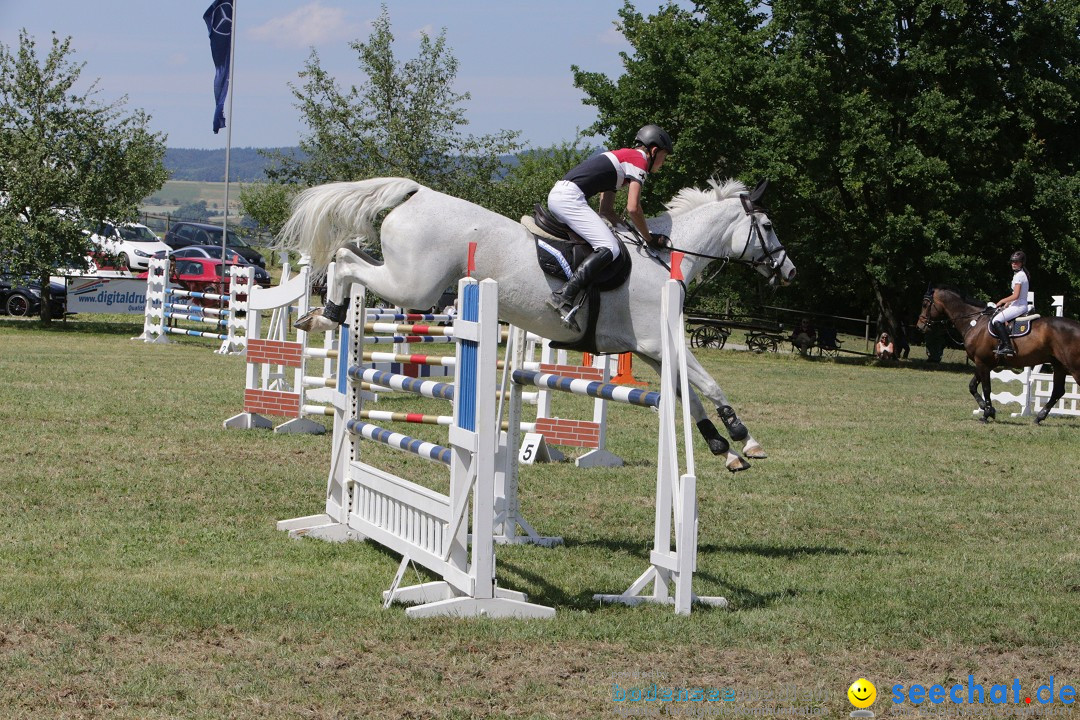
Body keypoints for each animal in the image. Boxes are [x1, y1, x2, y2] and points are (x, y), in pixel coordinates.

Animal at [282, 173, 799, 468]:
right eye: (769, 226)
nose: (790, 272)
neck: (666, 259)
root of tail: (418, 194)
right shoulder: (662, 342)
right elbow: (709, 386)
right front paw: (745, 440)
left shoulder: (654, 352)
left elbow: (688, 397)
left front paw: (724, 451)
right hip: (415, 286)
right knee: (346, 260)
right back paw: (327, 317)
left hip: (409, 280)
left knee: (347, 256)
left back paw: (321, 315)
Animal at [915, 284, 1080, 423]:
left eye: (925, 304)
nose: (920, 326)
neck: (975, 321)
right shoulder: (983, 363)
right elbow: (972, 386)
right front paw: (987, 409)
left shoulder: (982, 362)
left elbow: (986, 388)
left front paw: (987, 414)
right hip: (1059, 365)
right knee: (1058, 391)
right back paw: (1039, 417)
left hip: (1072, 366)